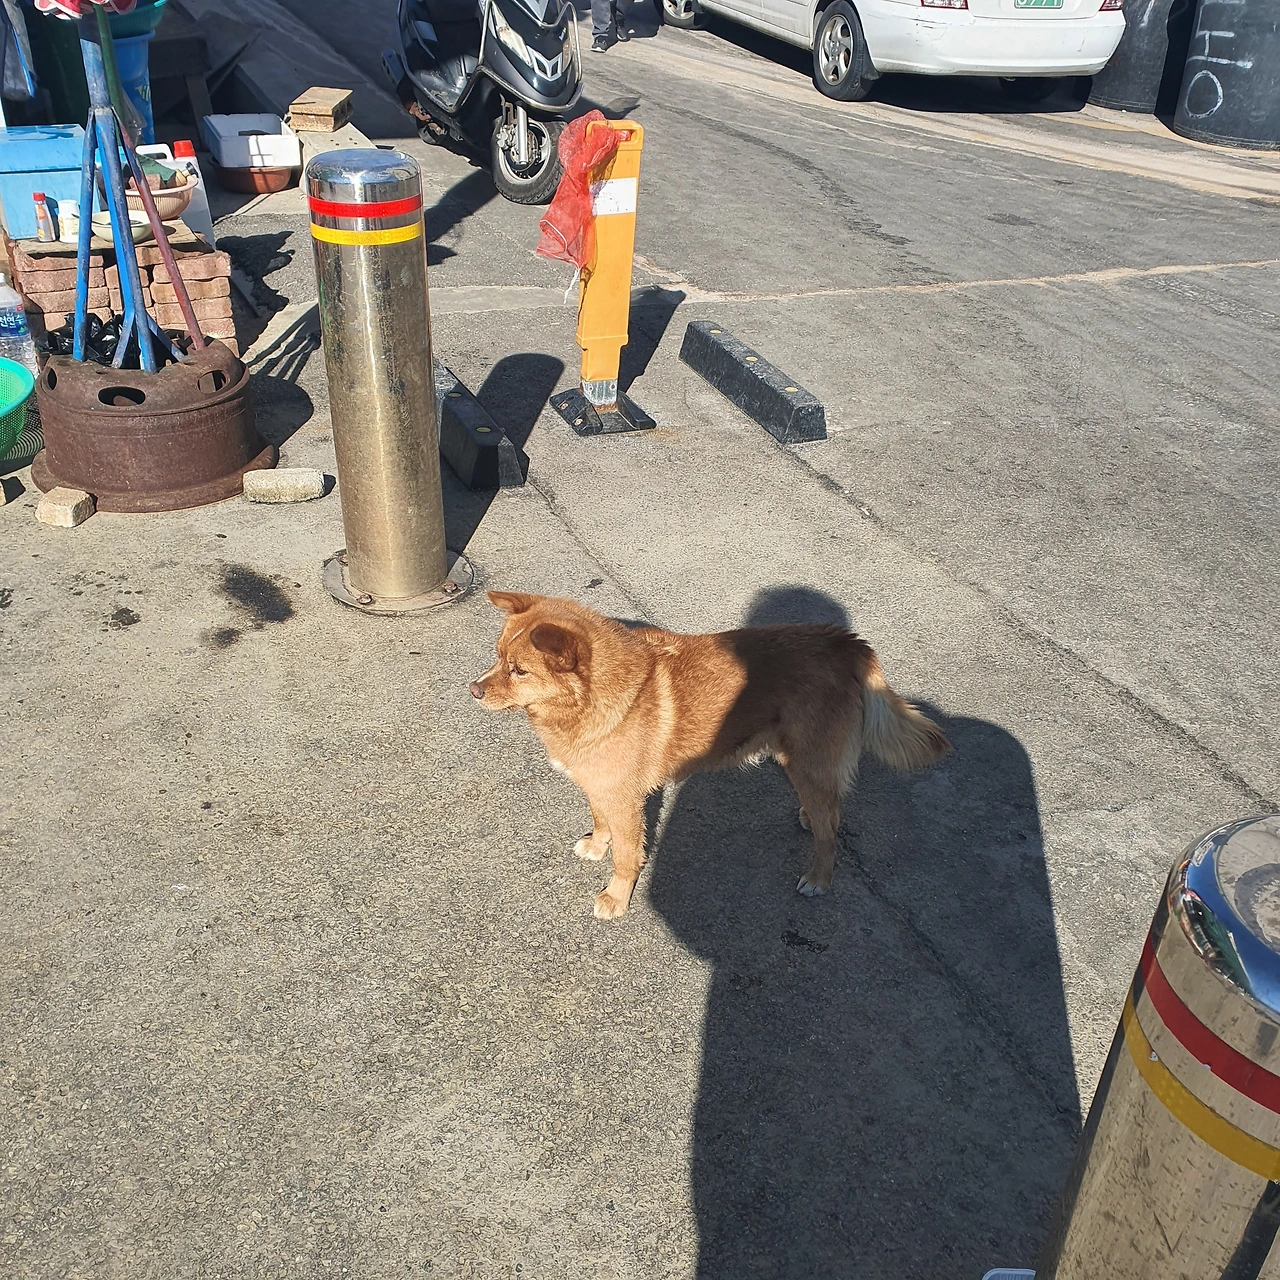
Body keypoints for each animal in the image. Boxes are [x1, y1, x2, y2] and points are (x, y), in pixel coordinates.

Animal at [469, 592, 950, 920]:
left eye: (519, 670)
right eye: (497, 656)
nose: (472, 690)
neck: (590, 701)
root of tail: (845, 642)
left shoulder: (626, 800)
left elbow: (627, 854)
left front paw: (617, 896)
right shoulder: (599, 785)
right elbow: (599, 819)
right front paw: (597, 844)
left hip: (807, 762)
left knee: (831, 827)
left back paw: (819, 877)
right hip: (801, 762)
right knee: (828, 807)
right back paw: (808, 816)